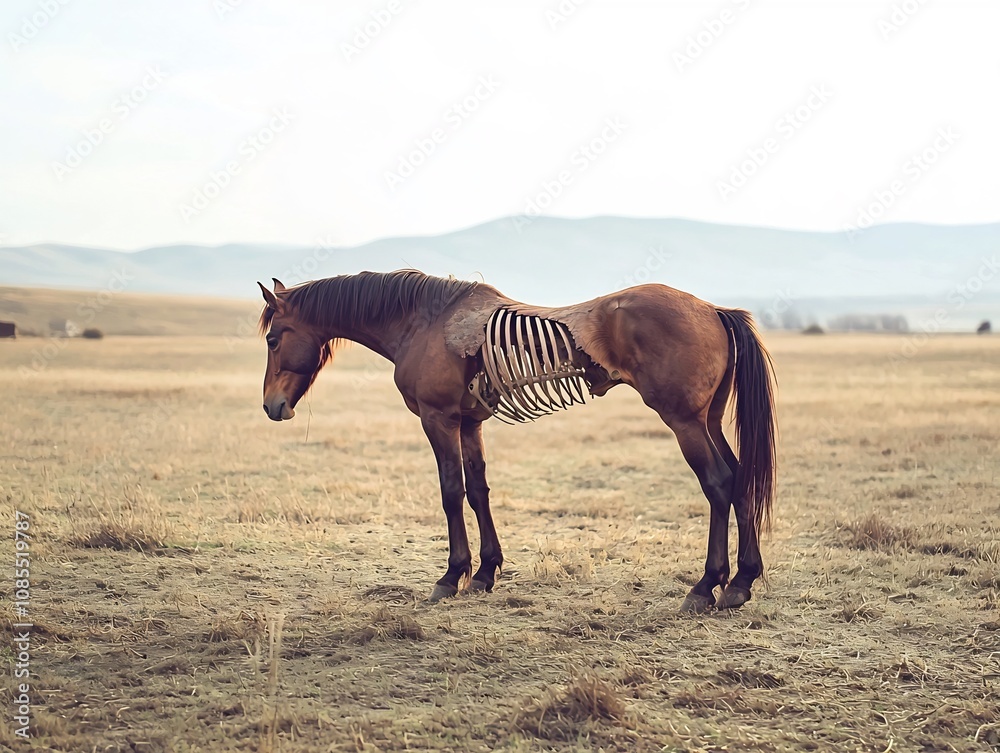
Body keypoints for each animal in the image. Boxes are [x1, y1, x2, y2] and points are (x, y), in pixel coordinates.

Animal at [257, 270, 776, 612]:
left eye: (272, 340)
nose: (271, 406)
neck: (422, 323)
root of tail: (712, 309)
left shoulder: (439, 420)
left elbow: (451, 493)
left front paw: (452, 575)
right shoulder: (470, 423)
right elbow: (478, 491)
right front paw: (485, 572)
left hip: (684, 421)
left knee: (718, 484)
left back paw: (706, 586)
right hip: (708, 419)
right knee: (741, 480)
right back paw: (741, 582)